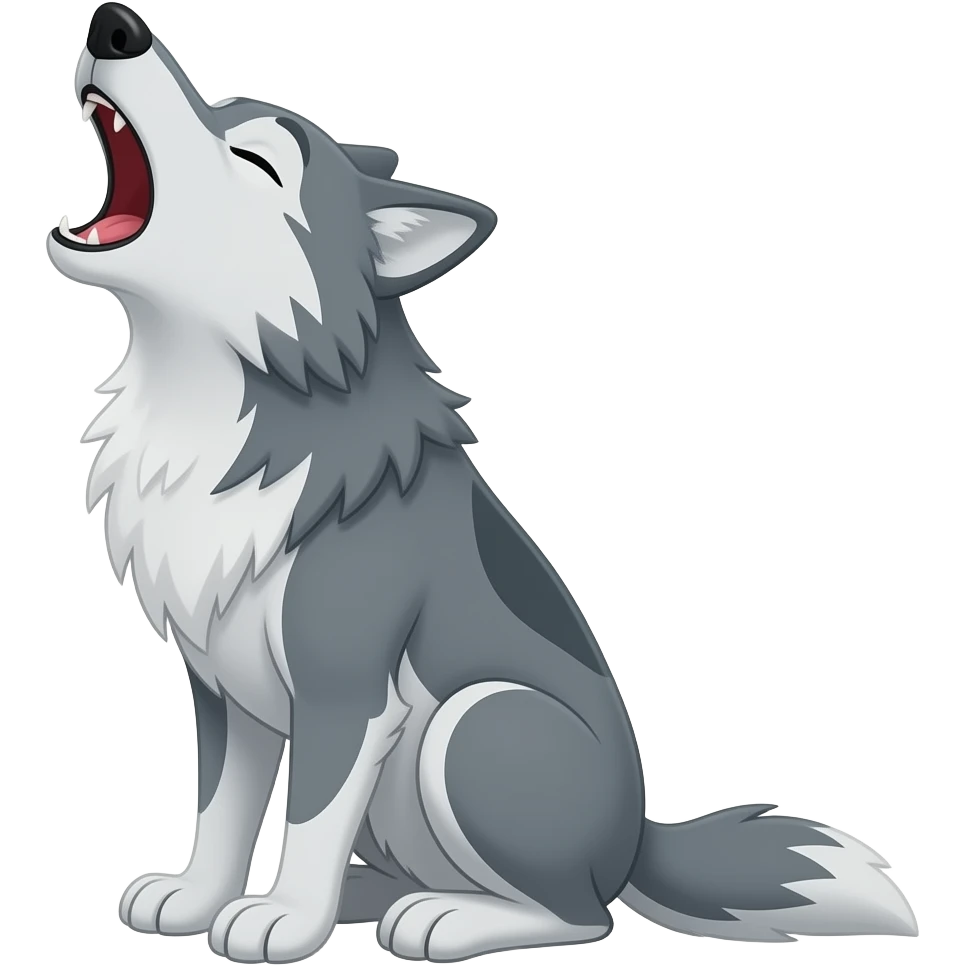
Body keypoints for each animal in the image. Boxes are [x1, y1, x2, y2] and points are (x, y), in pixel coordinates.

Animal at [47, 4, 918, 963]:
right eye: (221, 108)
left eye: (256, 159)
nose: (114, 24)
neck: (202, 400)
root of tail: (636, 841)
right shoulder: (222, 691)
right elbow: (220, 810)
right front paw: (200, 899)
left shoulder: (346, 690)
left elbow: (308, 816)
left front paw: (283, 919)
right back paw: (375, 895)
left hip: (478, 725)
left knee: (581, 914)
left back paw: (444, 918)